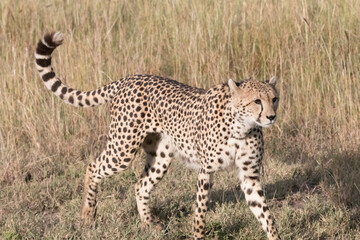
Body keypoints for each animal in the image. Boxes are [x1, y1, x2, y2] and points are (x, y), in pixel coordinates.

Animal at [34, 32, 282, 240]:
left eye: (274, 99)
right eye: (257, 101)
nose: (271, 116)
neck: (241, 127)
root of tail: (129, 78)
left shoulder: (249, 176)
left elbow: (265, 214)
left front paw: (274, 235)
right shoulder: (206, 171)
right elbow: (200, 212)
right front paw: (198, 235)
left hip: (160, 156)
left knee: (140, 185)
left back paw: (148, 224)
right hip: (122, 149)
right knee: (93, 166)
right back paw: (88, 213)